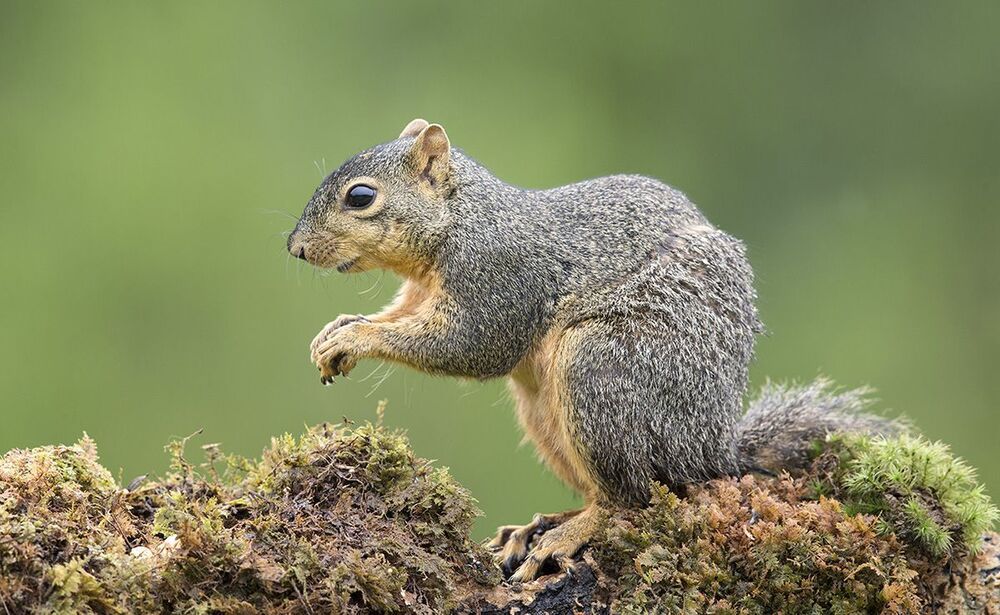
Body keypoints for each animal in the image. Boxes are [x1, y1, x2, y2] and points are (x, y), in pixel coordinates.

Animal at [287, 118, 896, 582]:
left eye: (361, 197)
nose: (294, 248)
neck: (461, 220)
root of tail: (714, 451)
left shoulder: (498, 281)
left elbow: (471, 347)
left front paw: (355, 337)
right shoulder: (417, 293)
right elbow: (396, 318)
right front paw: (335, 331)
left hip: (600, 370)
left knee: (632, 498)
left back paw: (567, 535)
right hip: (545, 412)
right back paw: (538, 525)